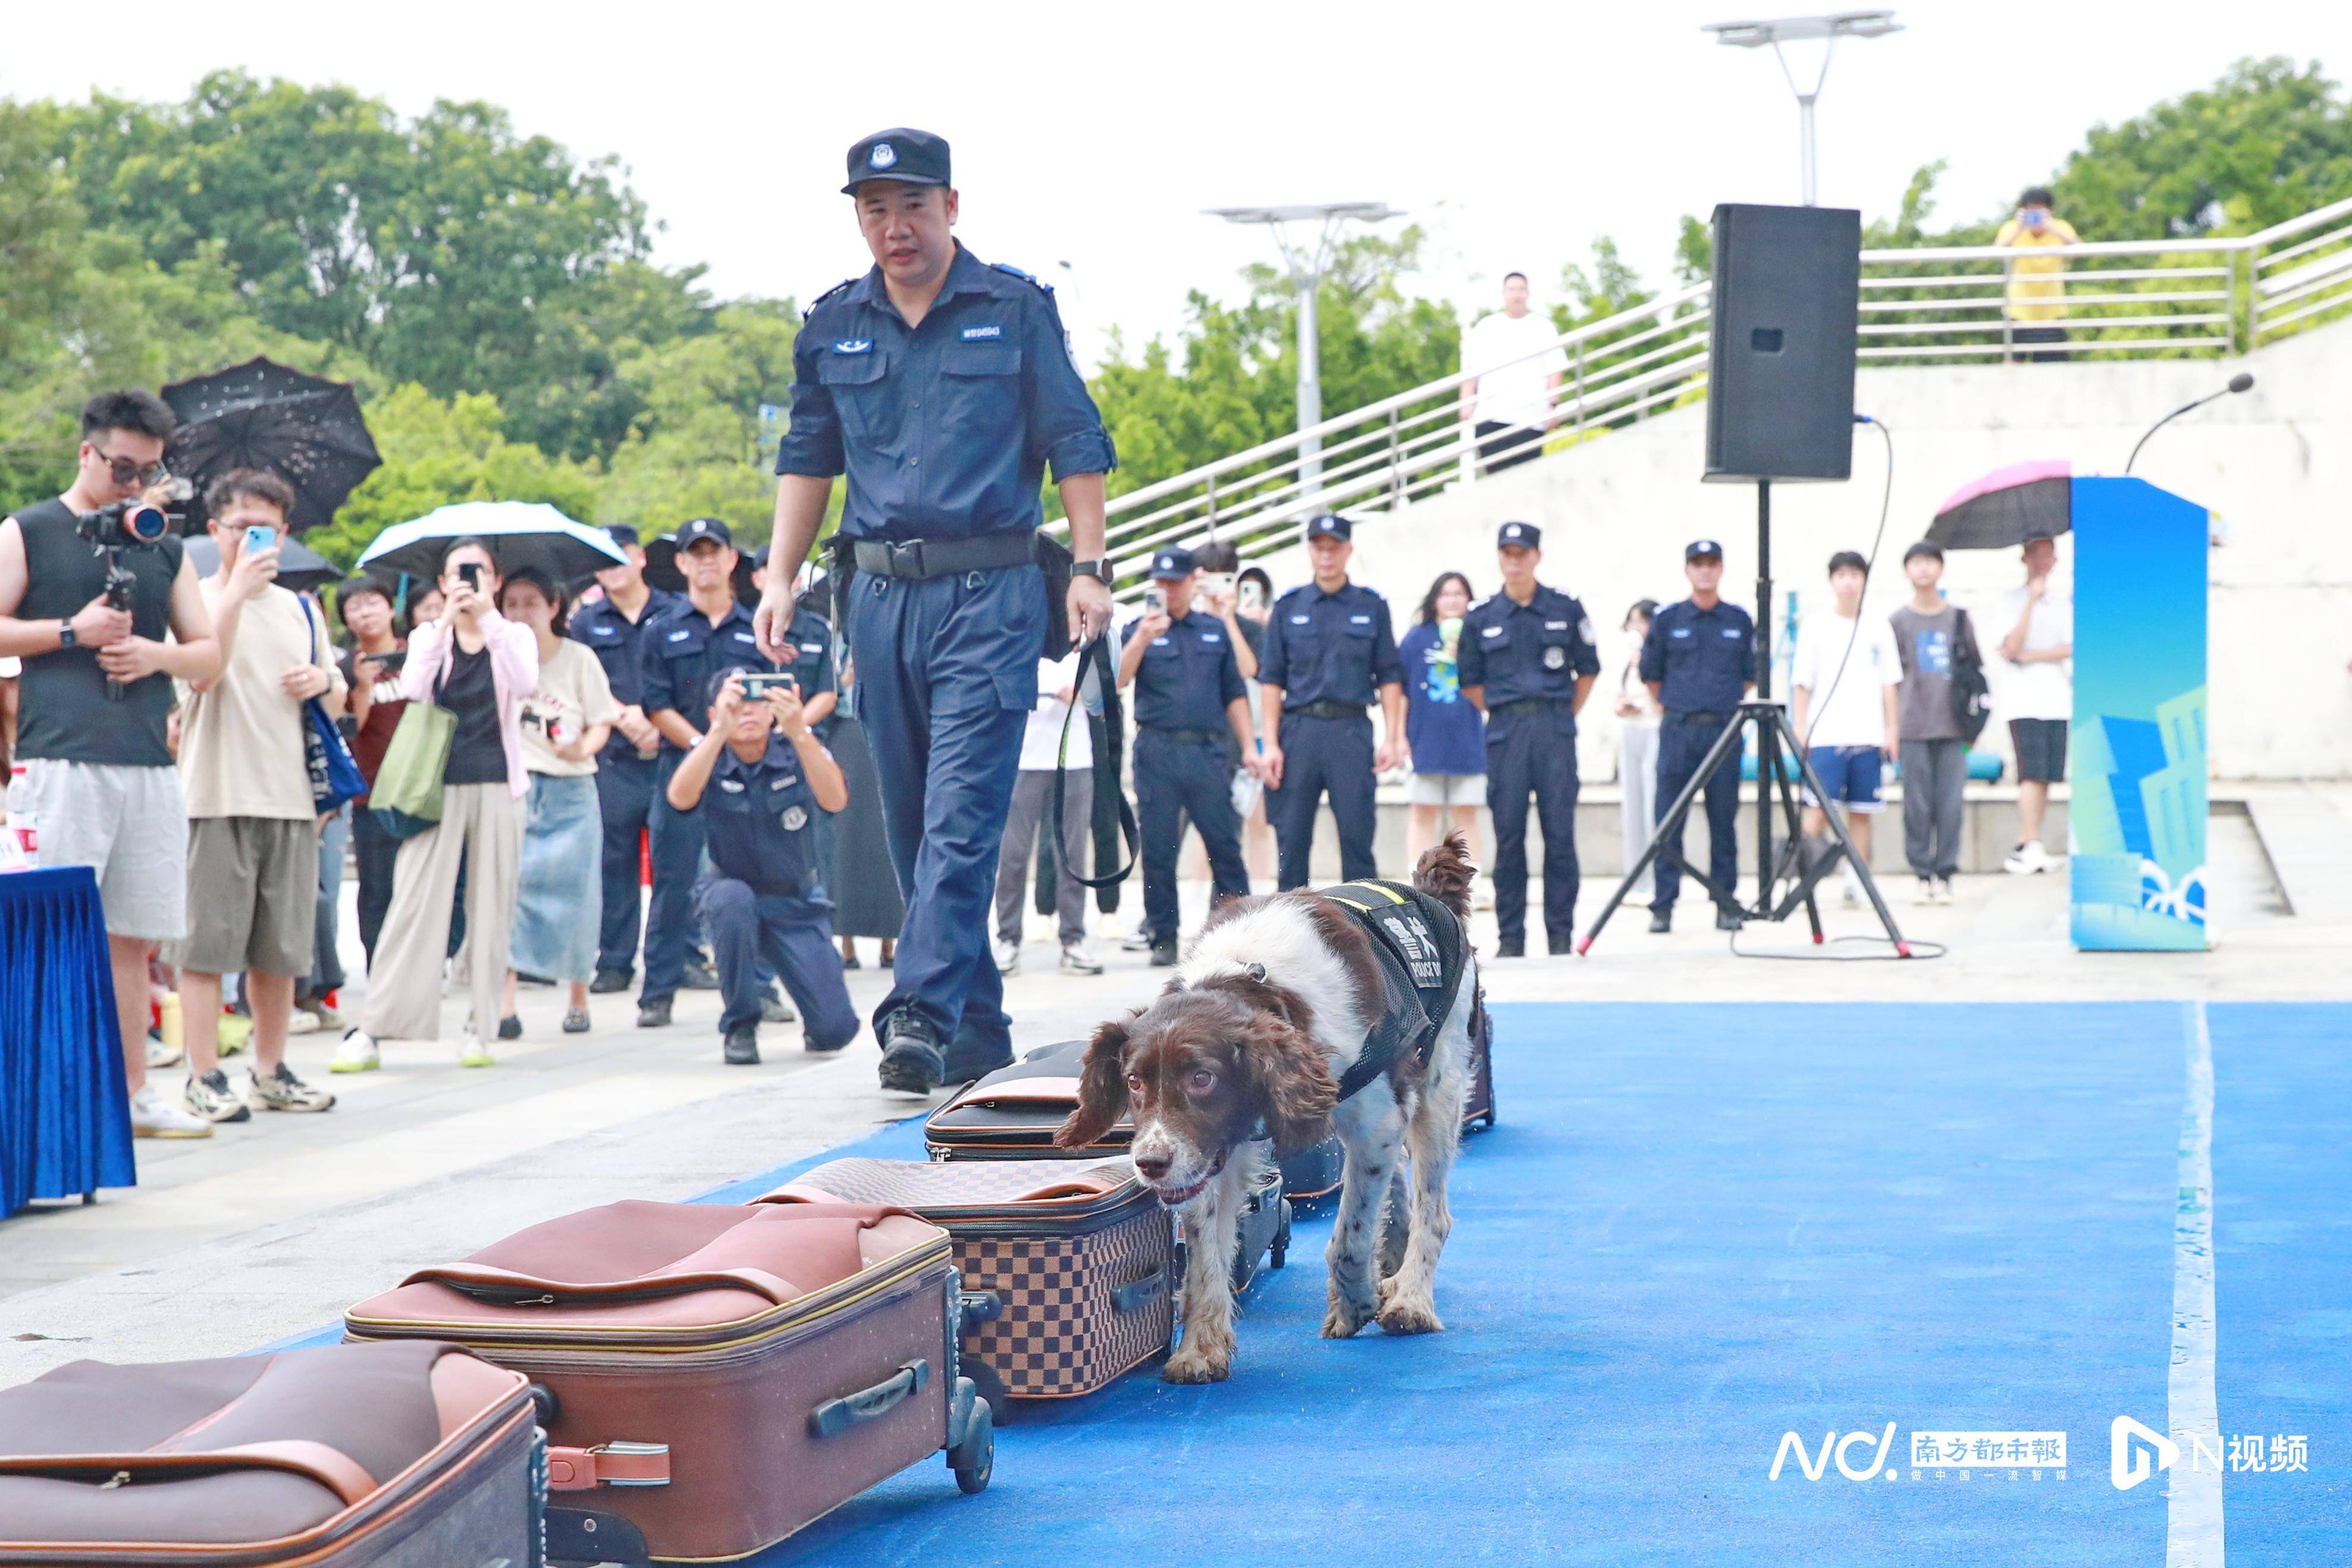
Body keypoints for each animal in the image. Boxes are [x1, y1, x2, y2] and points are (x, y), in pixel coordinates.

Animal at [1058, 832, 1477, 1382]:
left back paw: (1410, 1299)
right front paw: (1200, 1349)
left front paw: (1355, 1303)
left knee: (1434, 1207)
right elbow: (1205, 1258)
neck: (1253, 982)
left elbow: (1350, 1236)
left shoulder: (1375, 1122)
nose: (1150, 1164)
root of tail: (1428, 889)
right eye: (1133, 1082)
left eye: (1203, 1078)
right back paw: (1391, 1263)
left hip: (1439, 1086)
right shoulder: (1213, 1154)